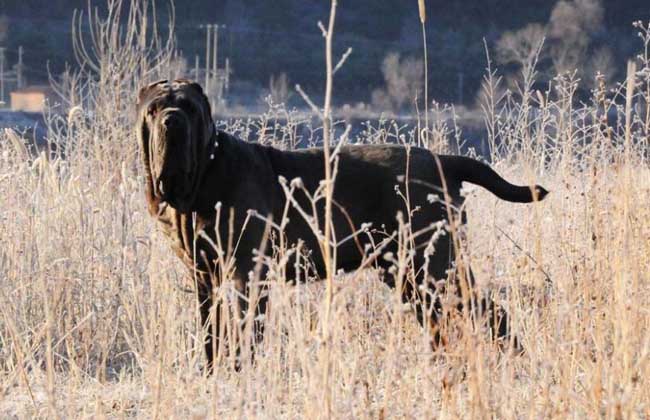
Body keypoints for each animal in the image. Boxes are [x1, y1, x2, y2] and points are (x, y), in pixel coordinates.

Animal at [137, 79, 548, 370]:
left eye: (189, 109)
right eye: (154, 109)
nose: (172, 119)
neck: (202, 178)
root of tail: (443, 162)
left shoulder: (246, 274)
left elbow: (243, 332)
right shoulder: (205, 278)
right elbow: (211, 333)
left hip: (436, 266)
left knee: (490, 313)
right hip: (409, 274)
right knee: (440, 322)